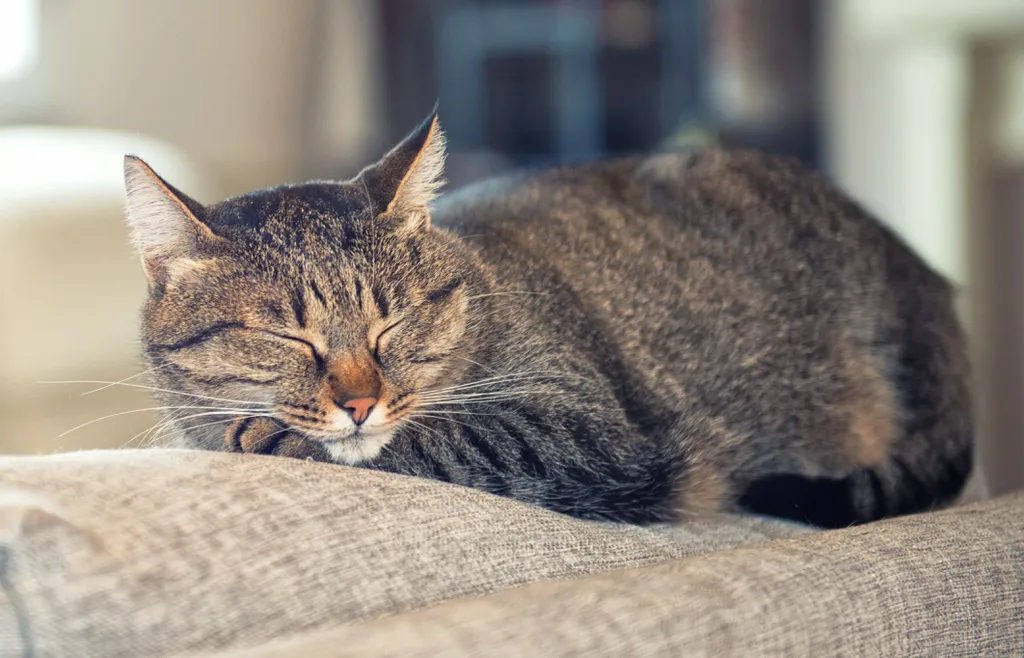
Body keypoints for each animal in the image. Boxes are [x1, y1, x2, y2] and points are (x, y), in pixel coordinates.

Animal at [123, 109, 970, 532]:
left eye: (392, 325)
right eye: (287, 337)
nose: (360, 401)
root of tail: (926, 273)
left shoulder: (595, 432)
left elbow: (452, 437)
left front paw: (279, 438)